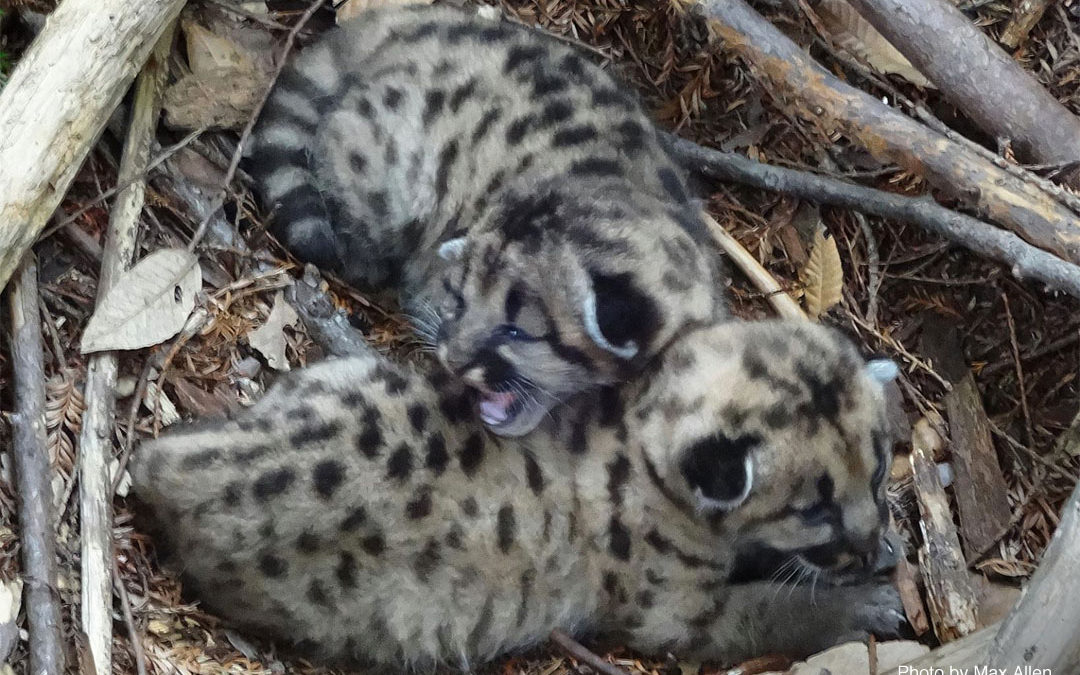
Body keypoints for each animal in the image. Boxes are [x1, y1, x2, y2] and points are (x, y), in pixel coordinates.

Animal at [132, 319, 902, 669]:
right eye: (814, 509)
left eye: (880, 471)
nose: (866, 546)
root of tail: (177, 464)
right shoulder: (679, 616)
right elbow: (768, 612)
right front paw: (864, 605)